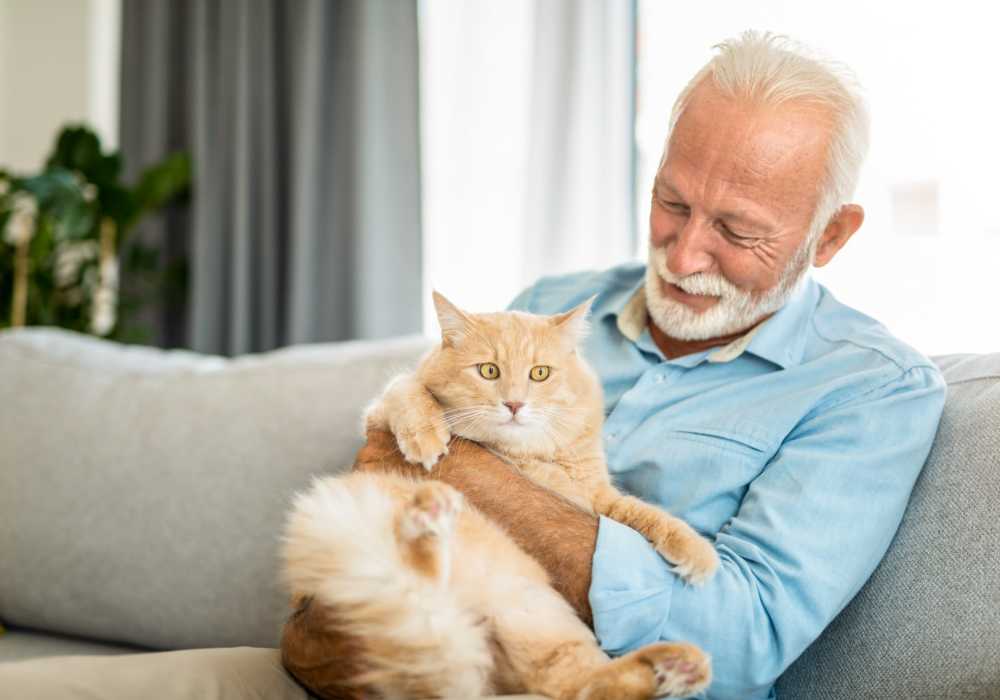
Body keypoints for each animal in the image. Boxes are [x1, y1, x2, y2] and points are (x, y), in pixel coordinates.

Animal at [282, 294, 720, 700]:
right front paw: (427, 439)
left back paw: (675, 666)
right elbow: (408, 390)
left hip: (535, 614)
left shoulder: (594, 497)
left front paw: (697, 554)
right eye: (488, 371)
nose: (514, 404)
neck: (523, 455)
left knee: (581, 685)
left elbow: (647, 514)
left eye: (539, 374)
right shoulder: (382, 410)